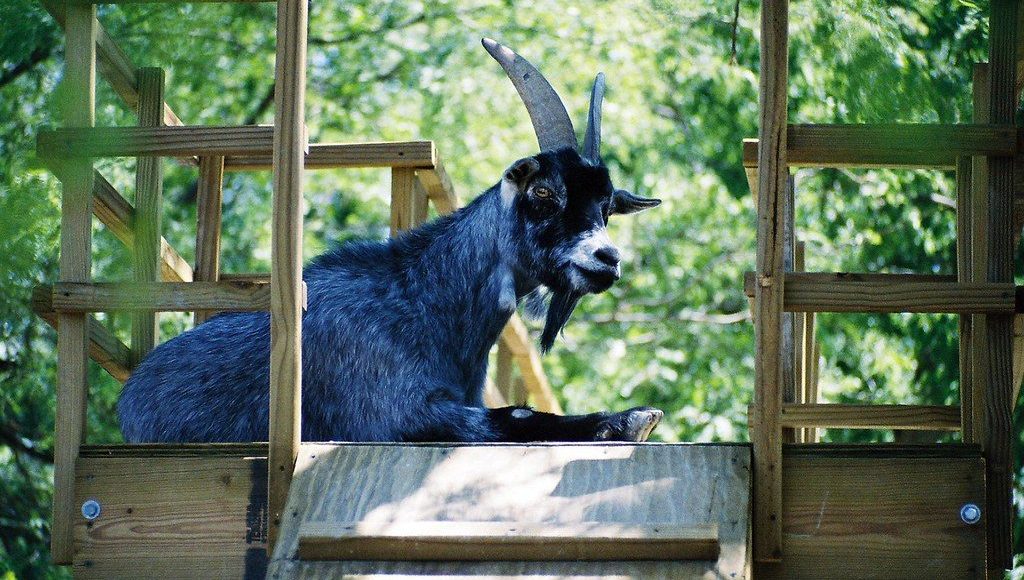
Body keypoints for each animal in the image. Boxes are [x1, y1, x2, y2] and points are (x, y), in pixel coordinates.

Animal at [117, 38, 663, 442]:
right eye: (543, 190)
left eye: (607, 208)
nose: (607, 259)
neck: (427, 301)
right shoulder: (395, 411)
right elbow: (516, 415)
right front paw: (628, 419)